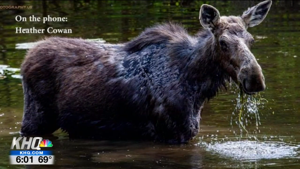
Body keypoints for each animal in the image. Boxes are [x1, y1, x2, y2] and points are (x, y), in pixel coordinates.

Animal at [19, 0, 270, 144]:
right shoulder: (171, 133)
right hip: (35, 118)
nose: (254, 79)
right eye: (223, 43)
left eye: (251, 39)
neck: (197, 86)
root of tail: (25, 59)